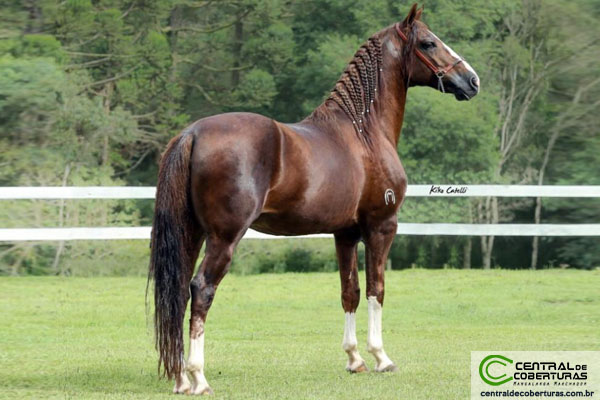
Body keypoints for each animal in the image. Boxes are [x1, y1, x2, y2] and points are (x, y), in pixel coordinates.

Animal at [149, 3, 478, 396]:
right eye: (429, 43)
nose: (472, 81)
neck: (364, 132)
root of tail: (193, 133)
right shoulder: (381, 226)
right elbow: (377, 288)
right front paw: (381, 357)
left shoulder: (345, 233)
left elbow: (350, 291)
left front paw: (354, 359)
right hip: (224, 237)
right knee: (201, 289)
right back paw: (198, 377)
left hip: (193, 233)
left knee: (178, 291)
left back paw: (181, 379)